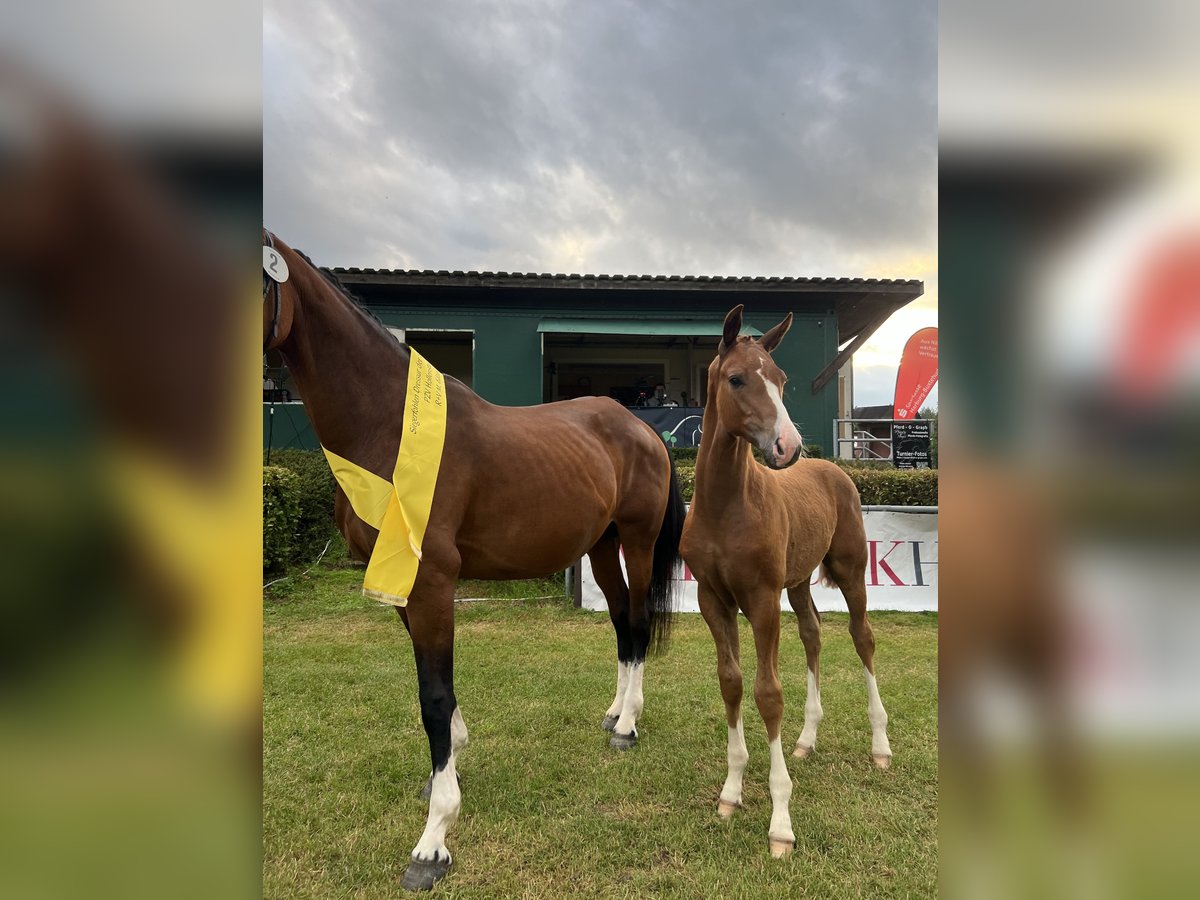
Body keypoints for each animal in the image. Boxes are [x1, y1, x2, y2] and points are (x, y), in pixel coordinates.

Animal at [260, 230, 686, 888]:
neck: (386, 425)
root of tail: (645, 430)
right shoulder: (402, 585)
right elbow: (440, 694)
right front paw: (448, 767)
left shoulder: (432, 582)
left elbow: (433, 698)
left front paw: (433, 841)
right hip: (601, 547)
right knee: (620, 625)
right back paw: (614, 713)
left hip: (637, 543)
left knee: (638, 624)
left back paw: (629, 727)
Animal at [676, 309, 892, 859]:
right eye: (736, 379)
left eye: (782, 379)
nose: (788, 446)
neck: (727, 505)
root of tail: (835, 470)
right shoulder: (715, 601)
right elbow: (731, 683)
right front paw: (731, 793)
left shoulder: (762, 601)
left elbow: (768, 693)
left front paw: (780, 824)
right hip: (797, 584)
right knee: (813, 635)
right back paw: (806, 740)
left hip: (851, 572)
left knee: (863, 639)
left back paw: (881, 746)